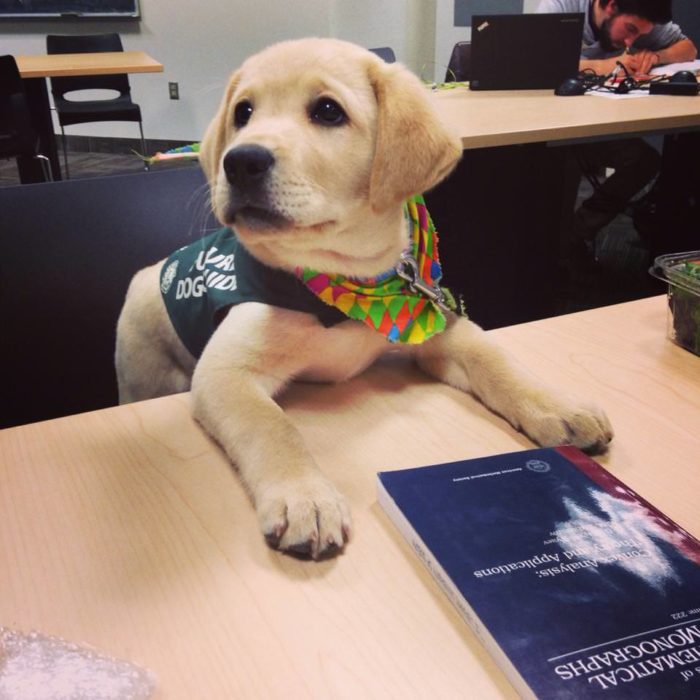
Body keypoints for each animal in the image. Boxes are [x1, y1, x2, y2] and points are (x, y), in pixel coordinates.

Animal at [116, 39, 612, 564]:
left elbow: (495, 359)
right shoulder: (224, 373)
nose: (239, 161)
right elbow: (272, 426)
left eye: (328, 111)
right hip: (143, 372)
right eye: (243, 112)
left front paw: (557, 406)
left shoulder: (433, 325)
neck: (341, 282)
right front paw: (304, 496)